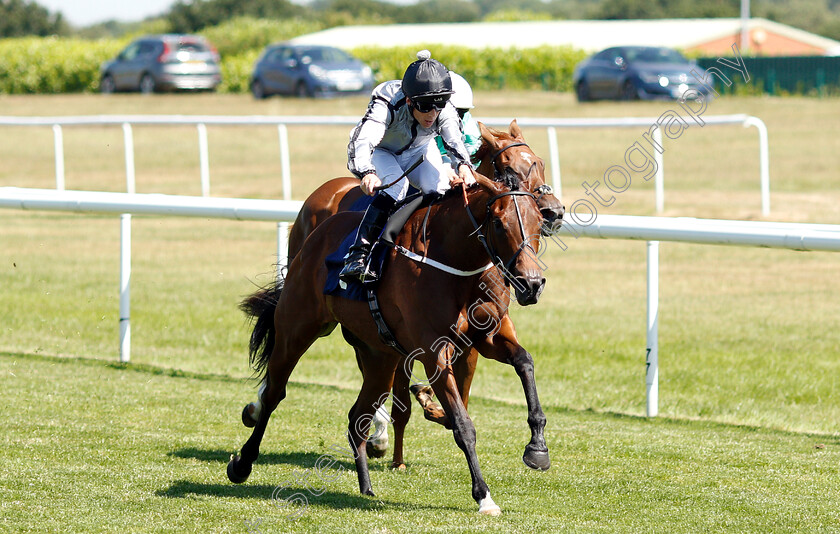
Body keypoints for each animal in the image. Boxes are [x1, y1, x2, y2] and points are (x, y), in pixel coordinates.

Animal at [228, 175, 544, 516]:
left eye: (539, 222)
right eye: (499, 223)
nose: (532, 284)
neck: (455, 263)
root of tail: (318, 233)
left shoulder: (488, 338)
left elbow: (525, 361)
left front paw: (537, 448)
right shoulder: (434, 353)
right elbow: (462, 424)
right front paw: (484, 496)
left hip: (379, 357)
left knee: (357, 419)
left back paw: (366, 487)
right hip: (296, 330)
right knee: (274, 394)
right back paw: (242, 463)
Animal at [284, 120, 564, 468]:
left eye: (538, 161)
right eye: (508, 166)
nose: (554, 211)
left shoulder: (482, 337)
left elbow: (520, 363)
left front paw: (536, 446)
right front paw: (425, 407)